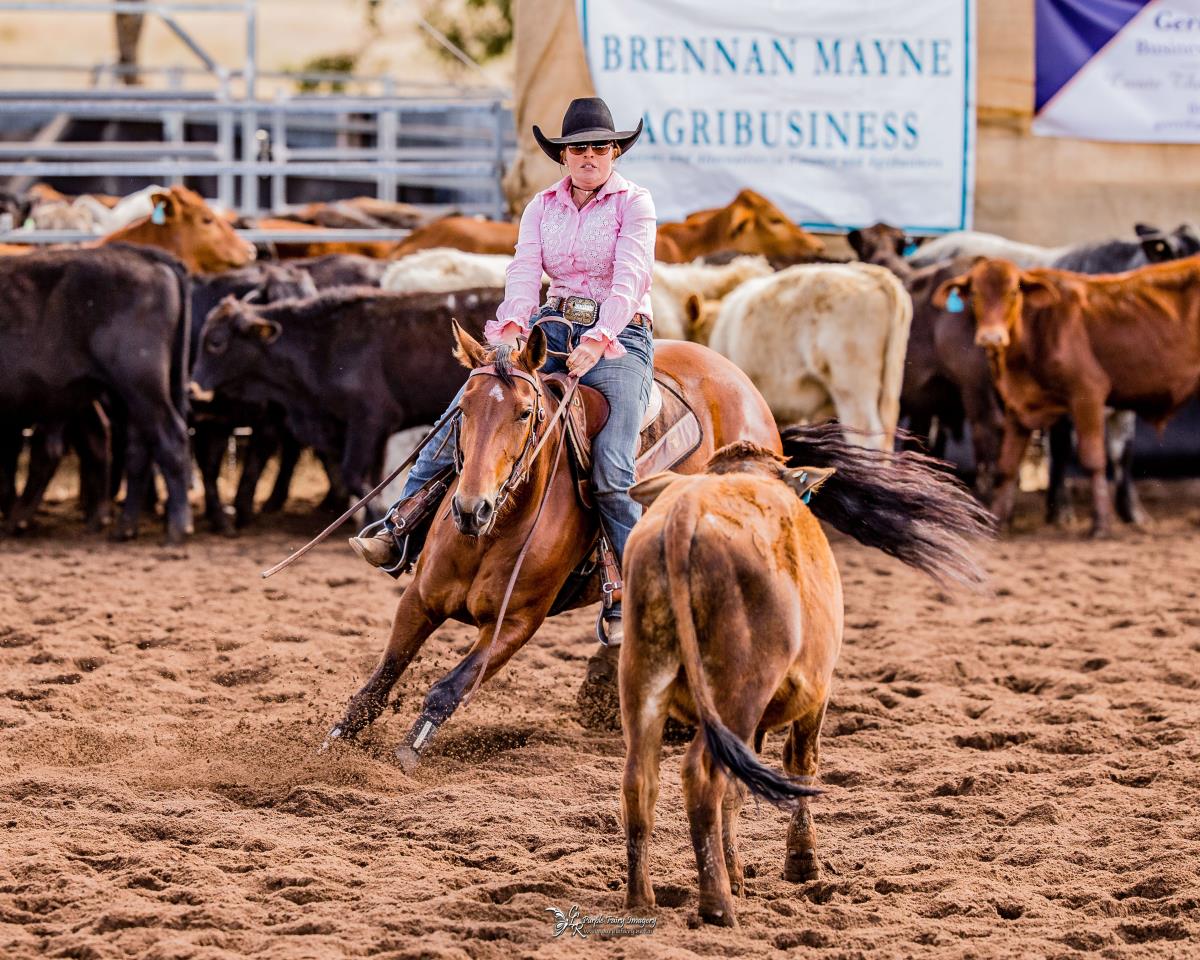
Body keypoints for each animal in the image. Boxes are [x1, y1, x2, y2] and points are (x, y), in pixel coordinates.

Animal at [0, 244, 192, 542]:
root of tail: (144, 254)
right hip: (127, 396)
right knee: (136, 450)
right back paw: (125, 527)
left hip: (142, 385)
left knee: (170, 439)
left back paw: (177, 528)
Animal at [191, 288, 502, 515]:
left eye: (216, 342)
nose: (192, 389)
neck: (320, 344)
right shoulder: (379, 432)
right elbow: (372, 477)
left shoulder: (368, 420)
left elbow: (352, 474)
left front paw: (375, 514)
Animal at [323, 320, 782, 769]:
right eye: (462, 409)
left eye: (525, 413)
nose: (471, 509)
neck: (491, 533)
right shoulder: (419, 599)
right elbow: (382, 676)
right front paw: (334, 741)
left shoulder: (516, 623)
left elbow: (450, 686)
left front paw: (410, 749)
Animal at [620, 427, 991, 926]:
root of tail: (685, 513)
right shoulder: (817, 691)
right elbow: (800, 763)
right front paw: (801, 861)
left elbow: (738, 791)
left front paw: (741, 872)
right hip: (739, 689)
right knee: (702, 775)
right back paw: (717, 905)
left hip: (642, 677)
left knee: (641, 782)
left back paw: (642, 900)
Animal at [935, 255, 1200, 536]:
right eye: (974, 293)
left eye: (1014, 291)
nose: (991, 337)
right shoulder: (1018, 407)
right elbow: (1007, 466)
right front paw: (996, 521)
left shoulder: (1088, 393)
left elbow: (1093, 459)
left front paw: (1101, 523)